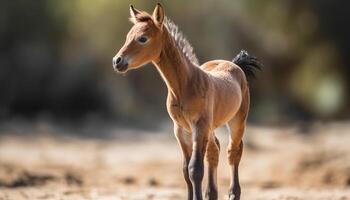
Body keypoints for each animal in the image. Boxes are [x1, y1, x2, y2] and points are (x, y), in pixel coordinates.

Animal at [113, 3, 262, 200]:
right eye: (127, 37)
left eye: (143, 38)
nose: (117, 61)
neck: (184, 86)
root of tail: (235, 64)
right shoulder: (181, 130)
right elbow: (185, 170)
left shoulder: (199, 126)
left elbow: (195, 169)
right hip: (211, 128)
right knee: (214, 151)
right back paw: (211, 193)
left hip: (236, 121)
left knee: (233, 152)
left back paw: (233, 193)